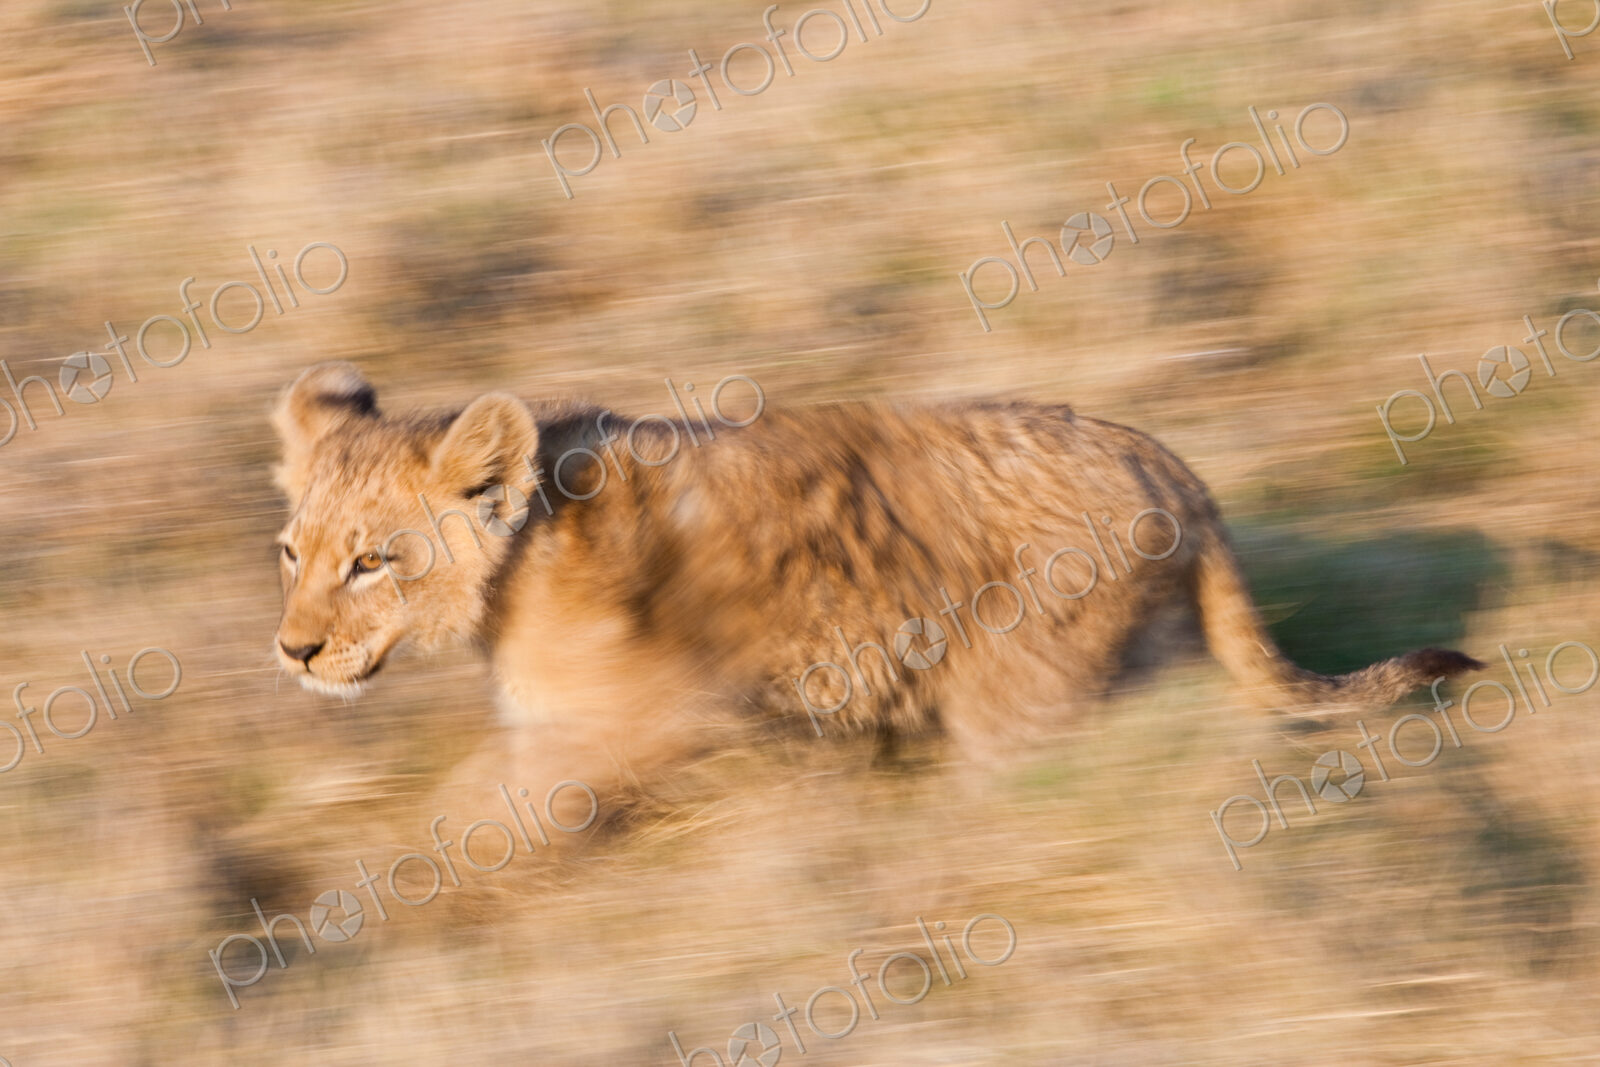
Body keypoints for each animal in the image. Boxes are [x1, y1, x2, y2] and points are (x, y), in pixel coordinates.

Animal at [270, 362, 1483, 802]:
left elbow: (476, 814)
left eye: (371, 559)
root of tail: (1170, 464)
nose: (293, 651)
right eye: (293, 551)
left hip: (1019, 700)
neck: (512, 573)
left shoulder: (648, 721)